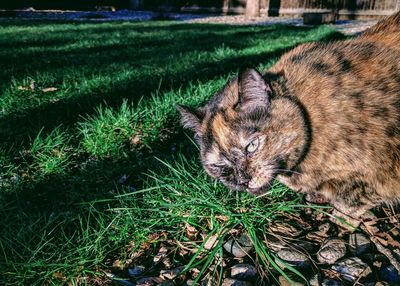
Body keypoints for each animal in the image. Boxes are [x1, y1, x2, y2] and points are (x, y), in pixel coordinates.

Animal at [178, 11, 400, 225]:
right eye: (218, 166)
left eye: (252, 146)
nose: (242, 181)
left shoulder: (373, 174)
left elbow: (352, 201)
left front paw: (341, 219)